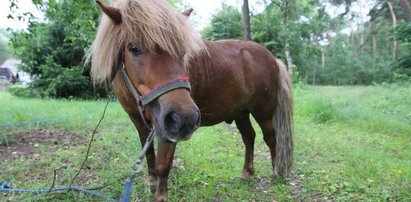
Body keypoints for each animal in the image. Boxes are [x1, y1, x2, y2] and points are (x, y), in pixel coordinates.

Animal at [87, 0, 292, 201]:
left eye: (182, 52)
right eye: (133, 48)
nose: (185, 118)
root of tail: (272, 58)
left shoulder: (166, 129)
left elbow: (163, 164)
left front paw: (160, 195)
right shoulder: (139, 122)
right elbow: (149, 153)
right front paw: (151, 181)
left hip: (263, 112)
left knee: (270, 138)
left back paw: (276, 172)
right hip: (241, 113)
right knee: (249, 137)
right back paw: (247, 173)